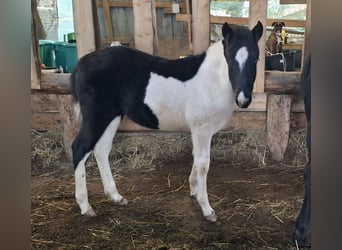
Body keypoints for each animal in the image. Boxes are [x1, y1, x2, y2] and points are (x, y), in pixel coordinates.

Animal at [71, 21, 264, 221]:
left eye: (256, 59)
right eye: (230, 59)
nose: (243, 100)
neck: (212, 80)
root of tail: (82, 64)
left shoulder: (198, 131)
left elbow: (195, 157)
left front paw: (194, 190)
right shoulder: (202, 129)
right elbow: (203, 163)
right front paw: (207, 209)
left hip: (112, 116)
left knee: (101, 150)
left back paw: (116, 196)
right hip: (97, 116)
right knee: (80, 148)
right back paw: (85, 206)